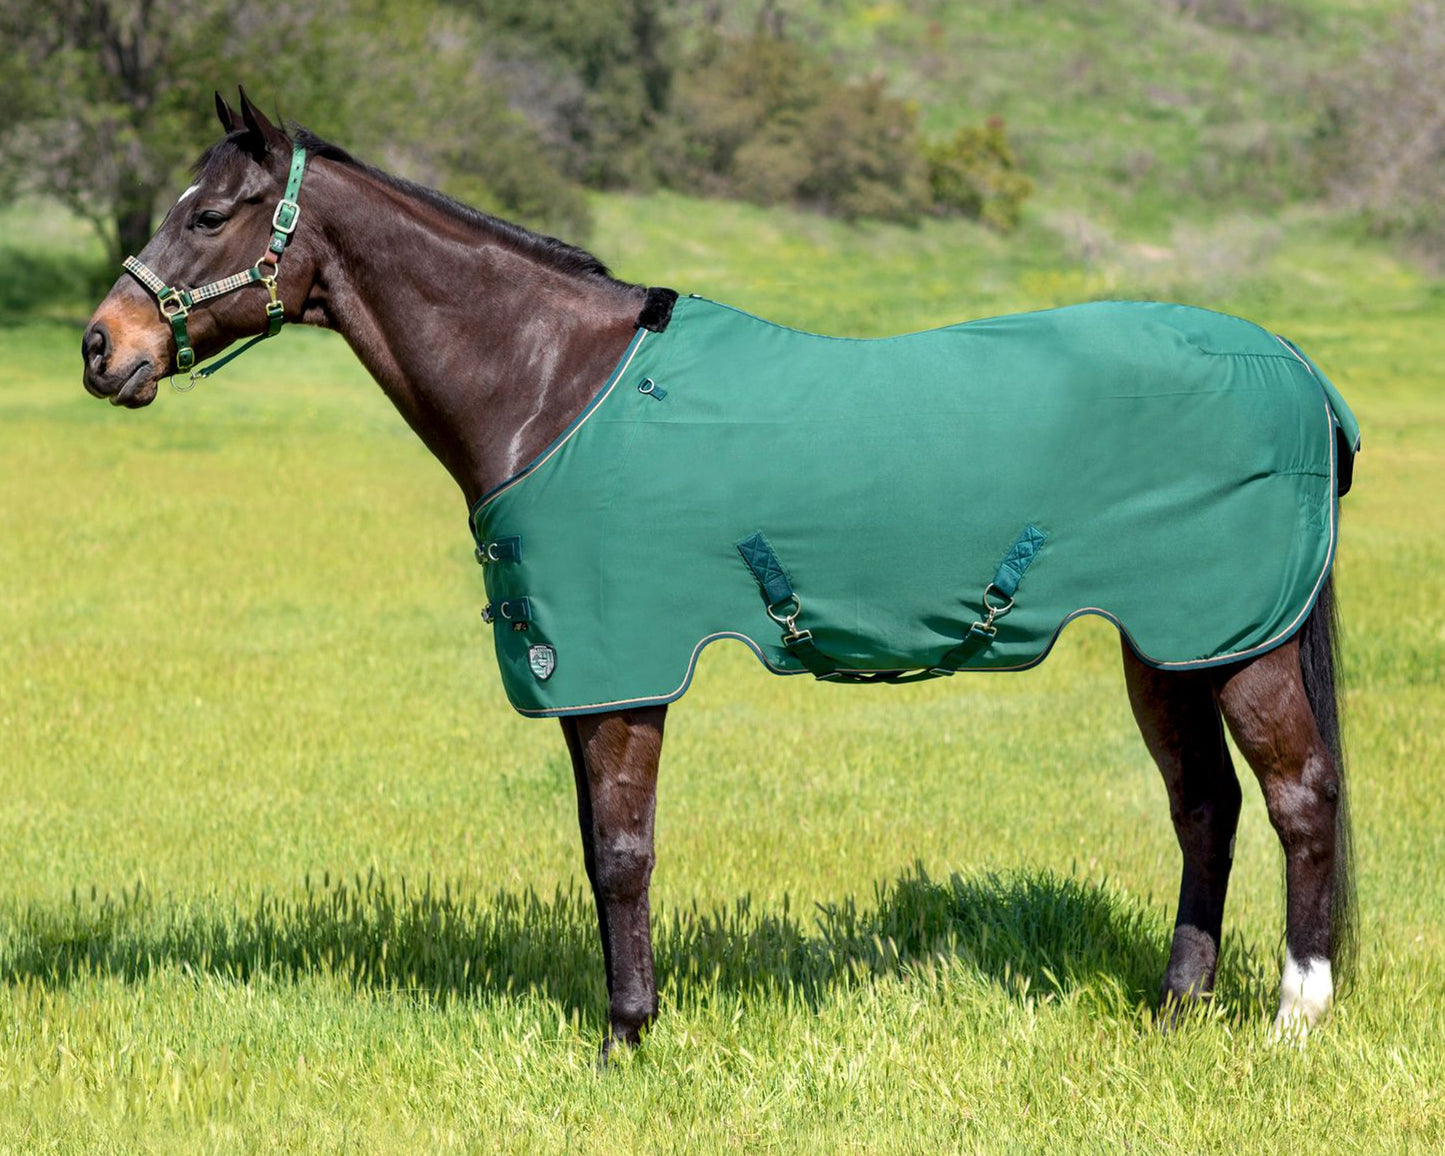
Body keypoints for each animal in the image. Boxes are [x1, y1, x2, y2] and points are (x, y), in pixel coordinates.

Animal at [82, 90, 1356, 1057]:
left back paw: (1293, 1019)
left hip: (1238, 645)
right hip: (1171, 646)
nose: (103, 349)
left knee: (1298, 799)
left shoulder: (618, 668)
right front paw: (627, 1021)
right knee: (1204, 807)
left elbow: (620, 854)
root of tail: (1295, 369)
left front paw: (624, 1037)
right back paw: (1174, 1010)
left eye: (209, 213)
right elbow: (599, 852)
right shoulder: (581, 672)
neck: (552, 385)